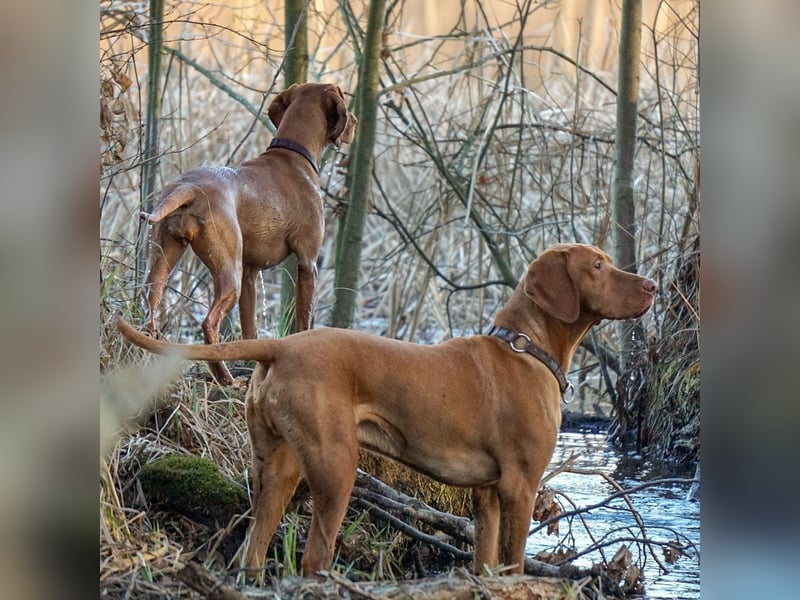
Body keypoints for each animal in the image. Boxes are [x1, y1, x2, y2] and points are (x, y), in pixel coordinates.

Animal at [117, 243, 656, 576]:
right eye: (598, 266)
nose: (652, 285)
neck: (526, 346)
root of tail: (280, 346)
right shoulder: (519, 487)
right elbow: (515, 564)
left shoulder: (485, 494)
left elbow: (484, 566)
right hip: (336, 467)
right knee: (314, 558)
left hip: (276, 467)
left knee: (252, 550)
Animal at [140, 82, 356, 384]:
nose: (356, 122)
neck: (293, 155)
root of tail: (189, 188)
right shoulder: (307, 263)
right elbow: (304, 319)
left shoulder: (251, 273)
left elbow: (250, 328)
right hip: (229, 273)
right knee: (209, 323)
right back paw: (225, 378)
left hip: (163, 258)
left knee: (151, 302)